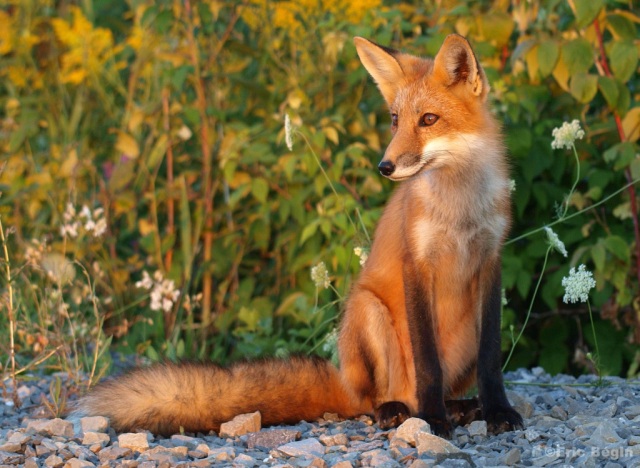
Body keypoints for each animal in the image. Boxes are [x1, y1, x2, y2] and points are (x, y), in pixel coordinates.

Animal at [75, 35, 524, 438]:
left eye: (428, 119)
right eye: (396, 120)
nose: (385, 166)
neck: (459, 209)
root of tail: (345, 382)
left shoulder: (491, 262)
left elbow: (491, 359)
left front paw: (497, 411)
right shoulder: (416, 263)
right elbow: (428, 362)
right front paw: (432, 421)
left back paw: (460, 407)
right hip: (367, 309)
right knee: (379, 399)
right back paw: (401, 411)